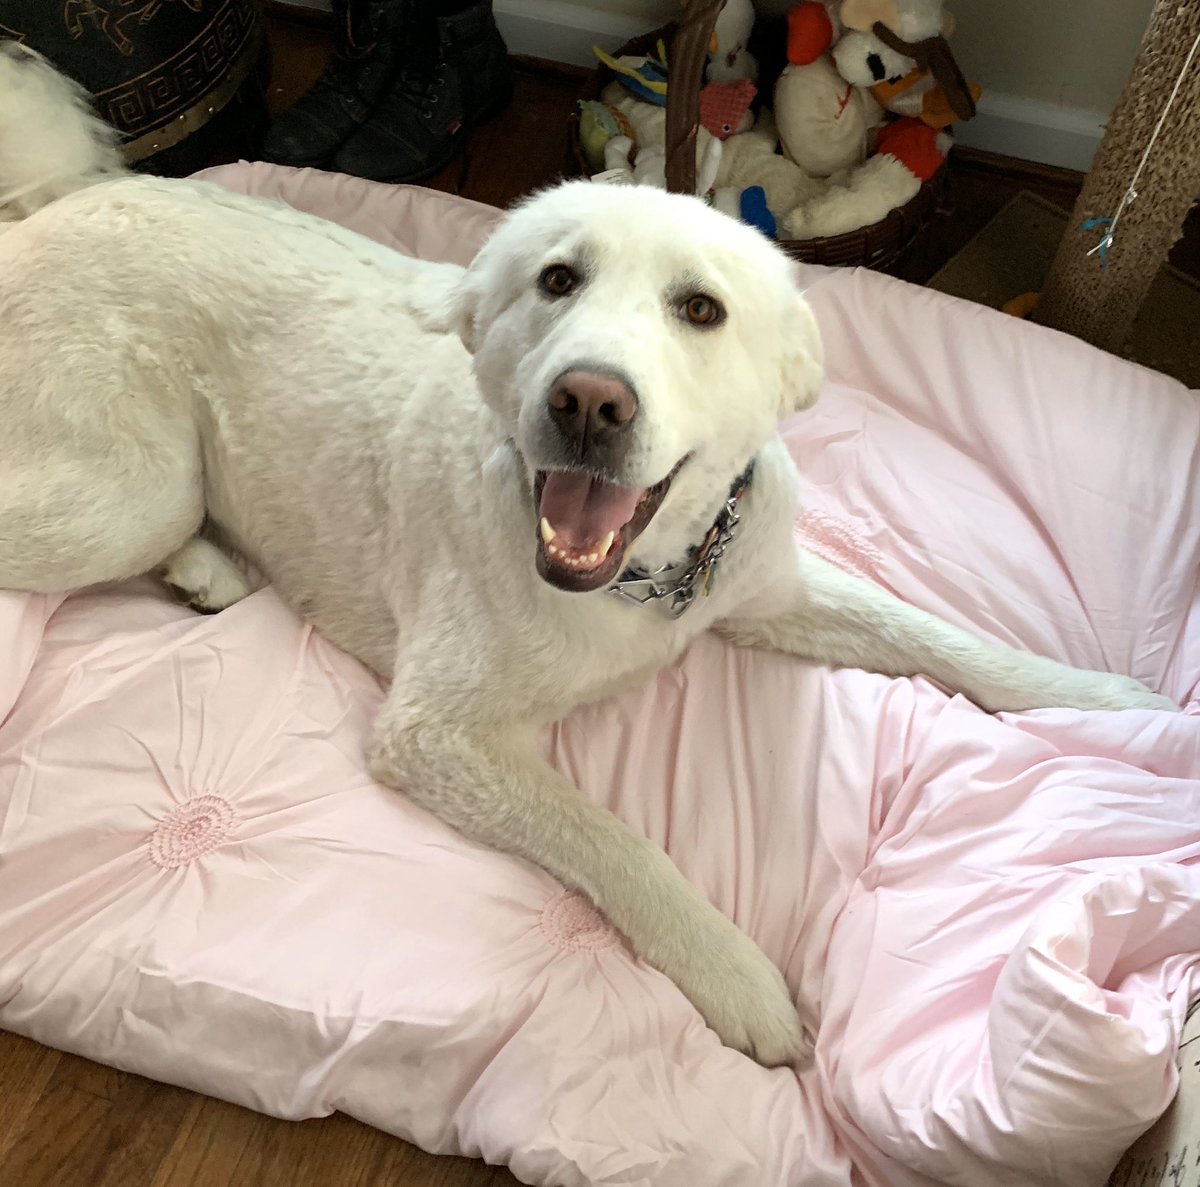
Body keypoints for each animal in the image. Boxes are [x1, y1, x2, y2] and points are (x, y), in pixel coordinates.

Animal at [0, 44, 1180, 1065]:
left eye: (700, 308)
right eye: (558, 281)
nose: (588, 400)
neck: (653, 582)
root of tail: (53, 207)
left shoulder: (772, 586)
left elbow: (935, 632)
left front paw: (1110, 702)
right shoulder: (437, 733)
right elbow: (620, 843)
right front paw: (739, 977)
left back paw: (206, 569)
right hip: (129, 492)